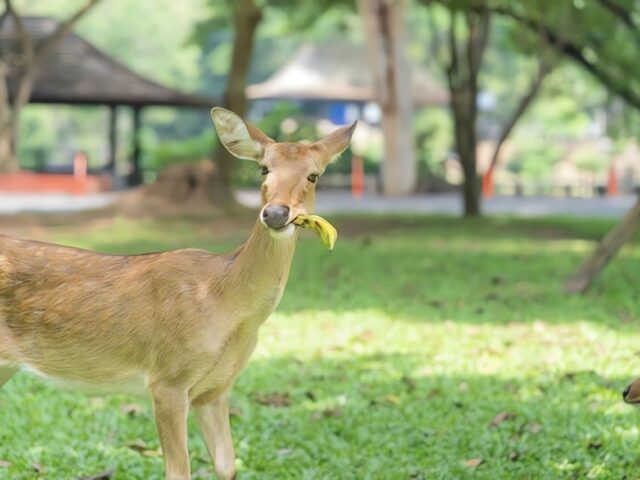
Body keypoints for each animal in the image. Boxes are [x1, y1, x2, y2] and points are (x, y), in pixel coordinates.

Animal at [0, 109, 358, 480]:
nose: (275, 213)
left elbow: (228, 466)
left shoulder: (215, 389)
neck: (224, 301)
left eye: (313, 175)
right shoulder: (168, 379)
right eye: (263, 168)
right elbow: (178, 471)